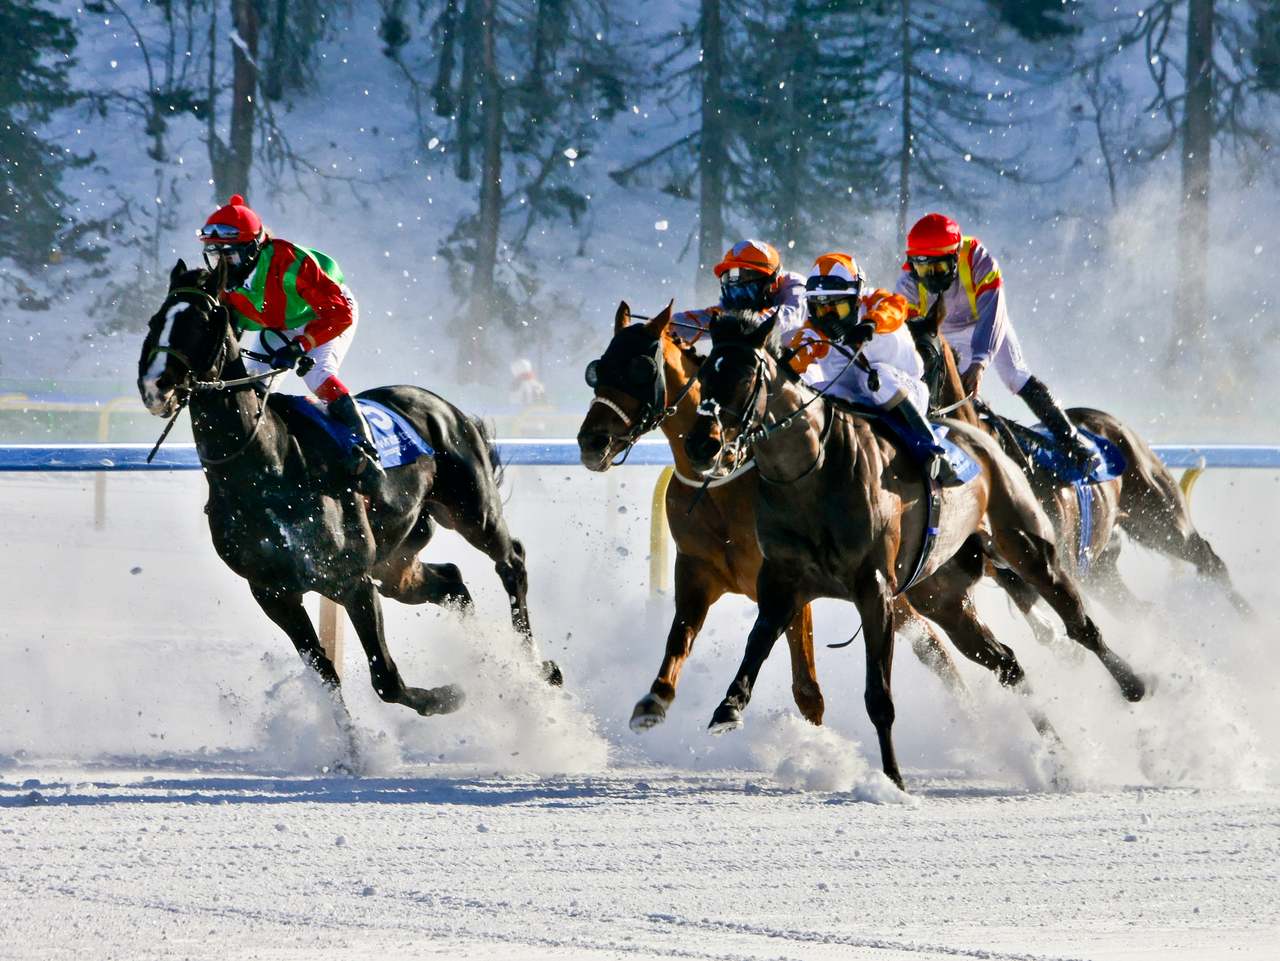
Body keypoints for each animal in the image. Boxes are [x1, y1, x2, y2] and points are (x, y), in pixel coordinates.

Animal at [137, 262, 560, 740]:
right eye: (155, 321)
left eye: (202, 320)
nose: (154, 385)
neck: (264, 469)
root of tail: (444, 406)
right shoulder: (273, 593)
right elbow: (325, 675)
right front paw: (350, 748)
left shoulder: (351, 582)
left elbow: (386, 680)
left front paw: (450, 696)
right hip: (395, 564)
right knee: (452, 582)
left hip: (471, 511)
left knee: (511, 560)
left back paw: (534, 667)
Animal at [684, 312, 1148, 789]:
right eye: (704, 375)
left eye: (743, 376)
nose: (701, 445)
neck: (810, 475)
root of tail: (979, 438)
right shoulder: (782, 581)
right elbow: (757, 643)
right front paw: (729, 706)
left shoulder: (875, 591)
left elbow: (879, 695)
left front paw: (893, 779)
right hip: (942, 596)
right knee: (1007, 664)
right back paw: (1059, 759)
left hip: (1027, 545)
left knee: (1078, 623)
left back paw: (1132, 685)